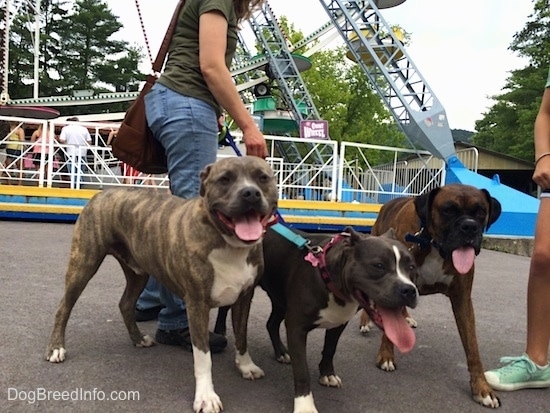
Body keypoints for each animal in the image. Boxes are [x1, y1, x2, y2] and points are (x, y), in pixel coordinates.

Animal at [44, 155, 280, 412]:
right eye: (225, 179)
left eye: (263, 178)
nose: (250, 193)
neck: (229, 244)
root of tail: (101, 193)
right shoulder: (197, 304)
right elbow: (203, 357)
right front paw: (206, 396)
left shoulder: (244, 297)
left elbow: (241, 335)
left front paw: (246, 366)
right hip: (84, 262)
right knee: (63, 307)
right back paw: (56, 348)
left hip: (138, 272)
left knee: (126, 304)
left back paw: (138, 339)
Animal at [216, 227, 418, 410]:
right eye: (378, 266)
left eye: (411, 267)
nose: (409, 290)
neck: (328, 276)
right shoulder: (296, 328)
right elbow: (302, 371)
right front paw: (305, 405)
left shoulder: (339, 323)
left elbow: (330, 349)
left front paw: (327, 374)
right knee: (226, 310)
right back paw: (219, 333)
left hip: (280, 300)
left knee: (271, 324)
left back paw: (281, 352)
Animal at [362, 183, 504, 406]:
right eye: (448, 210)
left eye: (480, 211)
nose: (469, 226)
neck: (432, 242)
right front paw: (386, 356)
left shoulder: (463, 300)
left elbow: (473, 348)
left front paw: (482, 389)